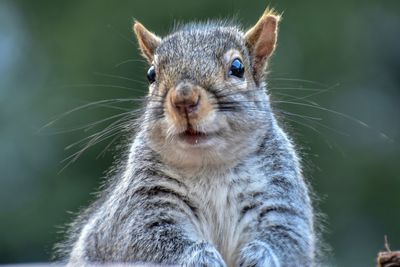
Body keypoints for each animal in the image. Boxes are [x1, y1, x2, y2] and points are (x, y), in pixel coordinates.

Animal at [62, 8, 318, 267]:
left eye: (238, 67)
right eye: (151, 74)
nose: (183, 98)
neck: (211, 165)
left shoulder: (280, 197)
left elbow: (289, 236)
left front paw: (260, 255)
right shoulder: (142, 206)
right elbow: (147, 238)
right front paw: (202, 257)